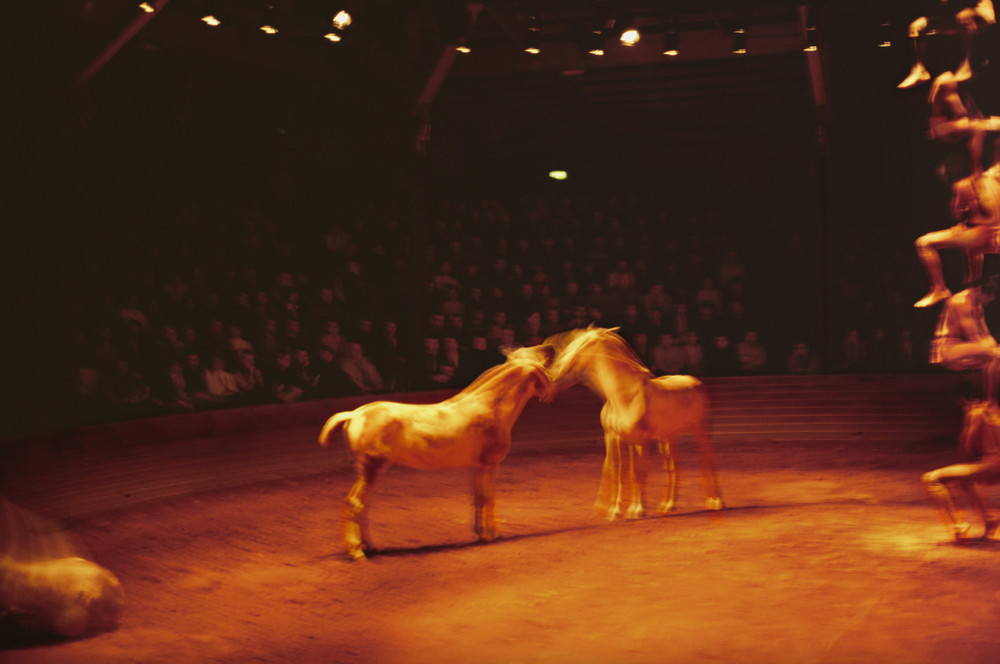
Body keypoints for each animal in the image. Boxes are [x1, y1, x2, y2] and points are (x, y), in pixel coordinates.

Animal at [318, 347, 555, 560]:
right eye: (542, 366)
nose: (550, 395)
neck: (490, 407)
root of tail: (355, 414)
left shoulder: (478, 466)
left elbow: (478, 499)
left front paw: (481, 534)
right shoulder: (489, 465)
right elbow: (489, 499)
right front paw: (492, 535)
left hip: (366, 472)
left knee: (363, 507)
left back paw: (370, 547)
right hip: (371, 469)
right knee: (355, 504)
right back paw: (356, 552)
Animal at [544, 326, 724, 520]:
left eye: (575, 349)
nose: (551, 378)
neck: (626, 395)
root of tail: (696, 382)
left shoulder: (640, 441)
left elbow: (638, 473)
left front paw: (637, 510)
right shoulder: (617, 438)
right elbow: (618, 472)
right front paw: (614, 511)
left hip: (701, 430)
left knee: (707, 460)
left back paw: (715, 502)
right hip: (668, 438)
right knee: (674, 467)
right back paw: (668, 506)